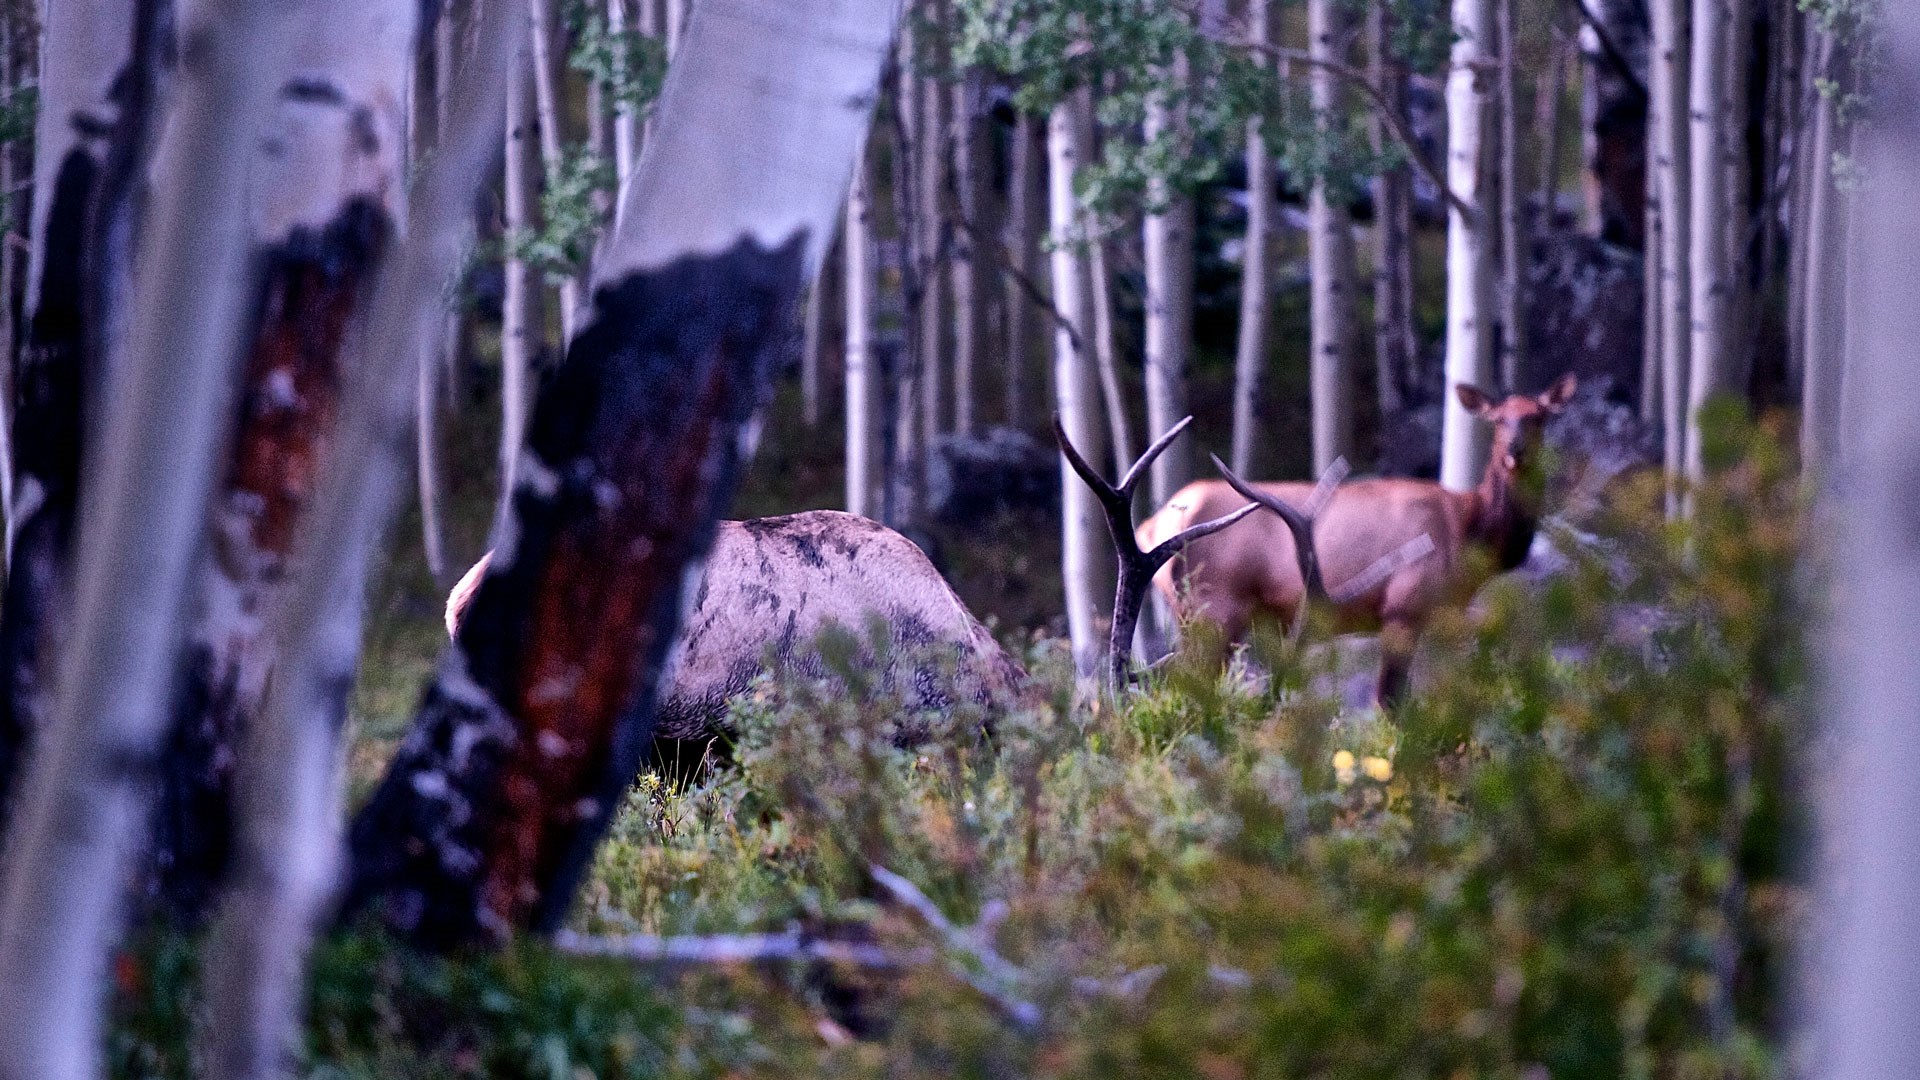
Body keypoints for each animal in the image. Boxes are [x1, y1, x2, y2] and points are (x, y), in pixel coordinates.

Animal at [1136, 374, 1574, 703]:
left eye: (1538, 417)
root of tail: (1151, 525)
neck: (1471, 535)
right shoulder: (1403, 606)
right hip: (1216, 605)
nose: (1516, 451)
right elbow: (1391, 701)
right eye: (1497, 419)